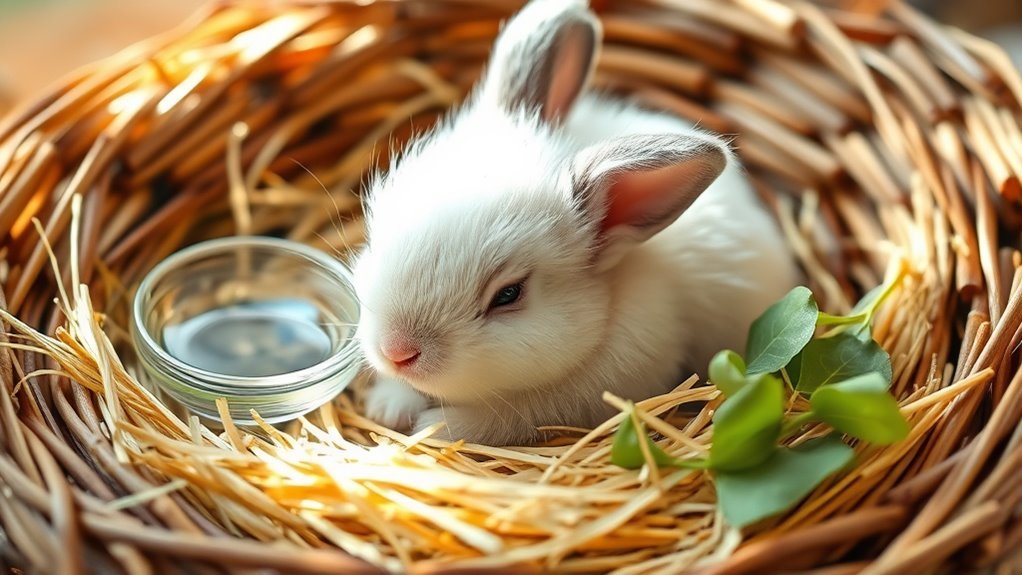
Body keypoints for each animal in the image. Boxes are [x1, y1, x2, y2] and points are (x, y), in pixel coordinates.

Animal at [351, 0, 800, 446]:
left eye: (509, 294)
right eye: (378, 230)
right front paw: (388, 406)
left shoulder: (570, 400)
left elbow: (501, 419)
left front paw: (433, 428)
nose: (396, 352)